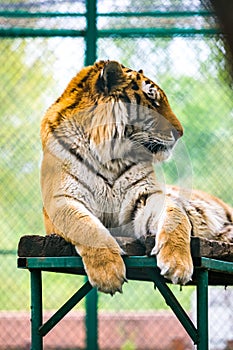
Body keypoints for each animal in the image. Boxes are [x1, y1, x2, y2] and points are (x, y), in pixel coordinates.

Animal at [40, 60, 233, 296]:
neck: (110, 156)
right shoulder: (60, 200)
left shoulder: (147, 195)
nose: (181, 133)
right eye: (153, 101)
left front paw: (178, 264)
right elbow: (85, 226)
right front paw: (108, 272)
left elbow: (177, 217)